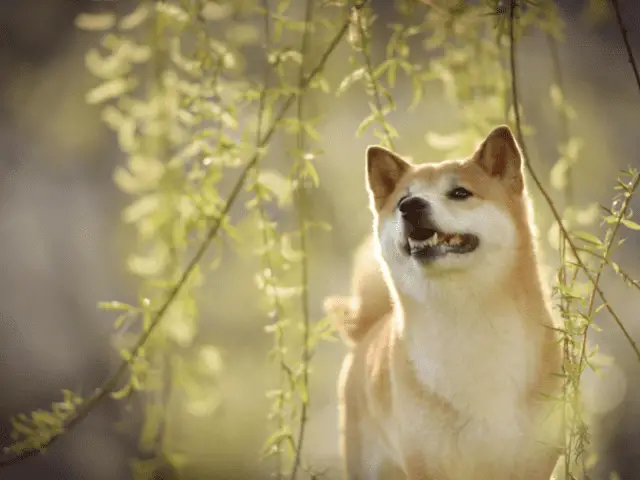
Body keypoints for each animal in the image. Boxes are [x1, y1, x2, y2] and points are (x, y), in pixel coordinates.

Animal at [328, 126, 564, 480]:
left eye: (459, 193)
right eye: (402, 199)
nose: (411, 206)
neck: (464, 319)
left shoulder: (532, 459)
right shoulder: (427, 460)